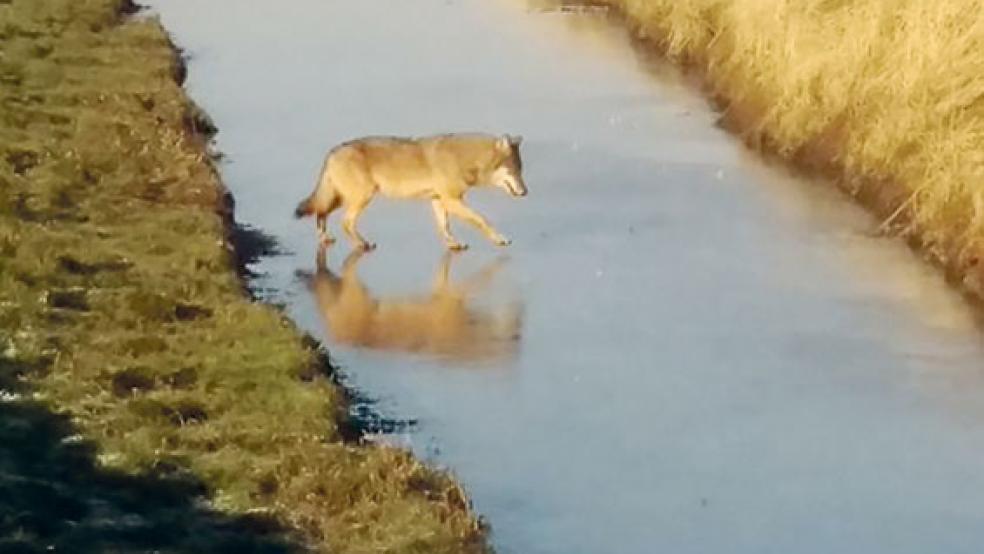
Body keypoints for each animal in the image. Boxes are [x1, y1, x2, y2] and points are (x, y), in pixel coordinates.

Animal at [293, 133, 527, 250]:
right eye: (514, 170)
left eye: (521, 170)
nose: (525, 192)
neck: (464, 159)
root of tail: (332, 152)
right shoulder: (452, 200)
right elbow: (481, 220)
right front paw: (500, 239)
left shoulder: (439, 200)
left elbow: (444, 226)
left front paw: (453, 244)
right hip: (360, 198)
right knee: (345, 222)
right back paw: (362, 244)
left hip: (341, 198)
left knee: (320, 214)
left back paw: (325, 239)